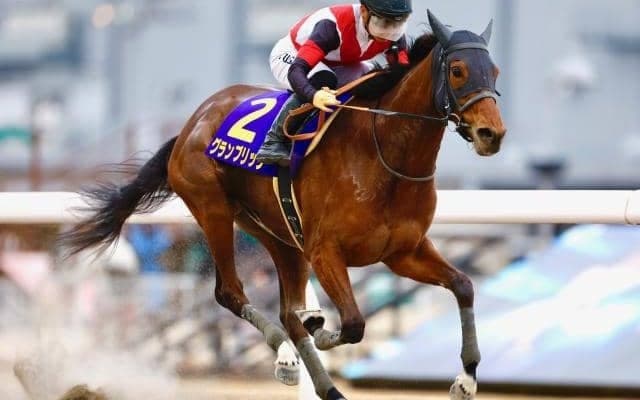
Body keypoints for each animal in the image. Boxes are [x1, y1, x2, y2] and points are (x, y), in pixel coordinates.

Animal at [60, 11, 506, 400]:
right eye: (457, 70)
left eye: (495, 71)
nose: (492, 134)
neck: (384, 154)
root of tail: (192, 122)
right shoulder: (326, 251)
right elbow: (354, 324)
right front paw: (321, 325)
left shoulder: (403, 252)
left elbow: (463, 285)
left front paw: (466, 379)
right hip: (213, 209)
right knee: (231, 293)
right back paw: (288, 353)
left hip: (278, 234)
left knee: (287, 312)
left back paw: (323, 383)